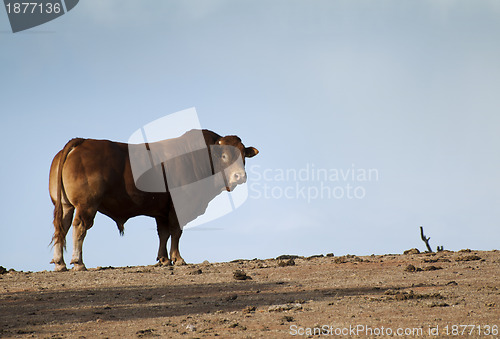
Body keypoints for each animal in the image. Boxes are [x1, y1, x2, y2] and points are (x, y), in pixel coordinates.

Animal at [48, 129, 258, 272]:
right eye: (224, 155)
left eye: (243, 156)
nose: (240, 176)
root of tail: (82, 142)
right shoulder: (179, 207)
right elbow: (176, 231)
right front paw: (177, 258)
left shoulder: (161, 210)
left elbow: (163, 233)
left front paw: (164, 259)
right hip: (87, 205)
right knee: (79, 227)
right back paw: (78, 262)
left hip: (65, 205)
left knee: (62, 226)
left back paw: (60, 263)